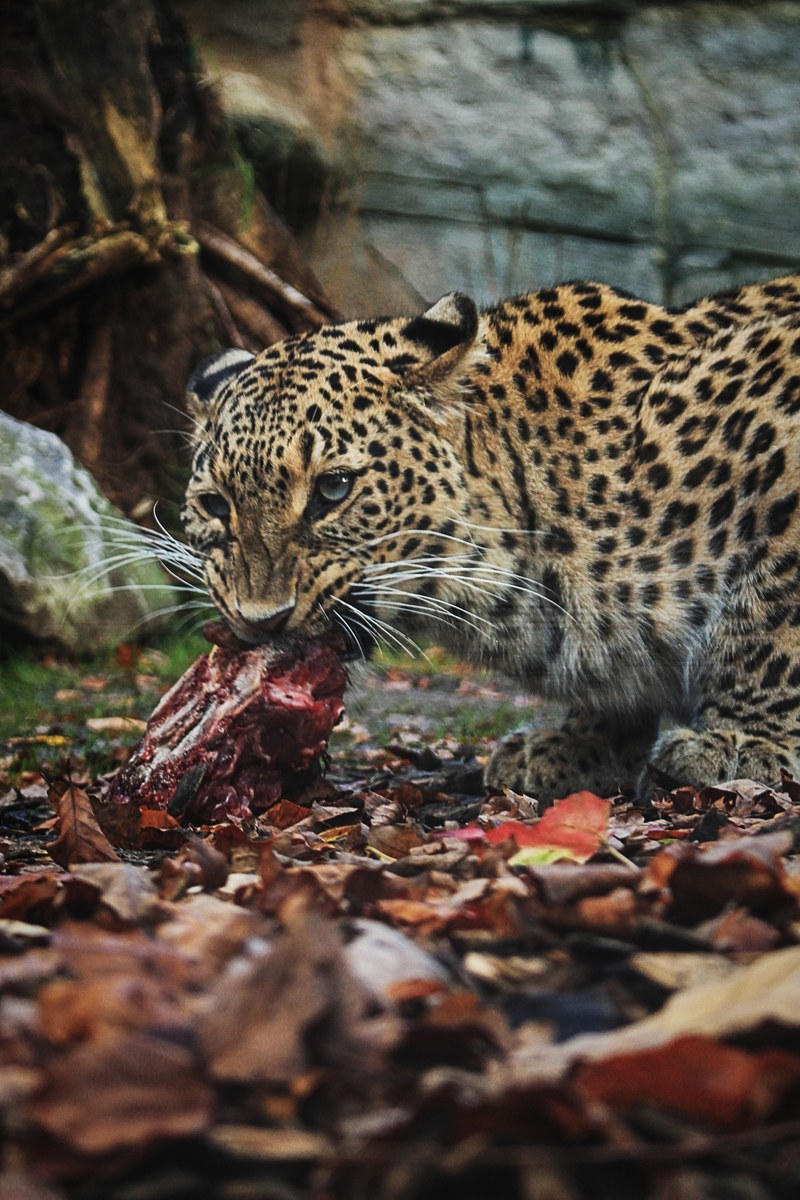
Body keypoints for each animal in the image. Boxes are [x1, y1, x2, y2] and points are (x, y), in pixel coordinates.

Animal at [182, 272, 800, 802]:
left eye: (334, 488)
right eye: (214, 505)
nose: (261, 620)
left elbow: (771, 623)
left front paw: (744, 739)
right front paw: (581, 740)